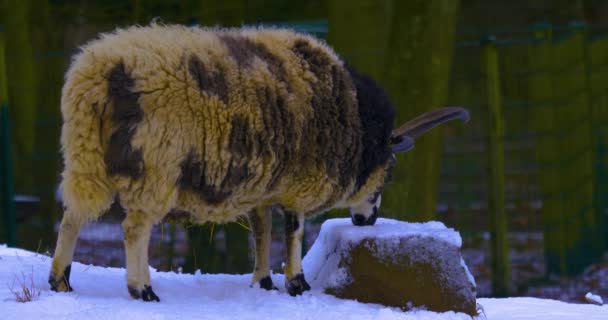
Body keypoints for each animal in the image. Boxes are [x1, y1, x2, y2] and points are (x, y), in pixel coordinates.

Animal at [48, 23, 470, 302]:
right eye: (388, 173)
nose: (367, 221)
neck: (355, 119)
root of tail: (99, 75)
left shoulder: (263, 188)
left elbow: (262, 231)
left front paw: (264, 281)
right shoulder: (299, 185)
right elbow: (294, 232)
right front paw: (297, 284)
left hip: (86, 157)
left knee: (73, 215)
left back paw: (61, 281)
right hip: (154, 166)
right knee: (134, 229)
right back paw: (142, 289)